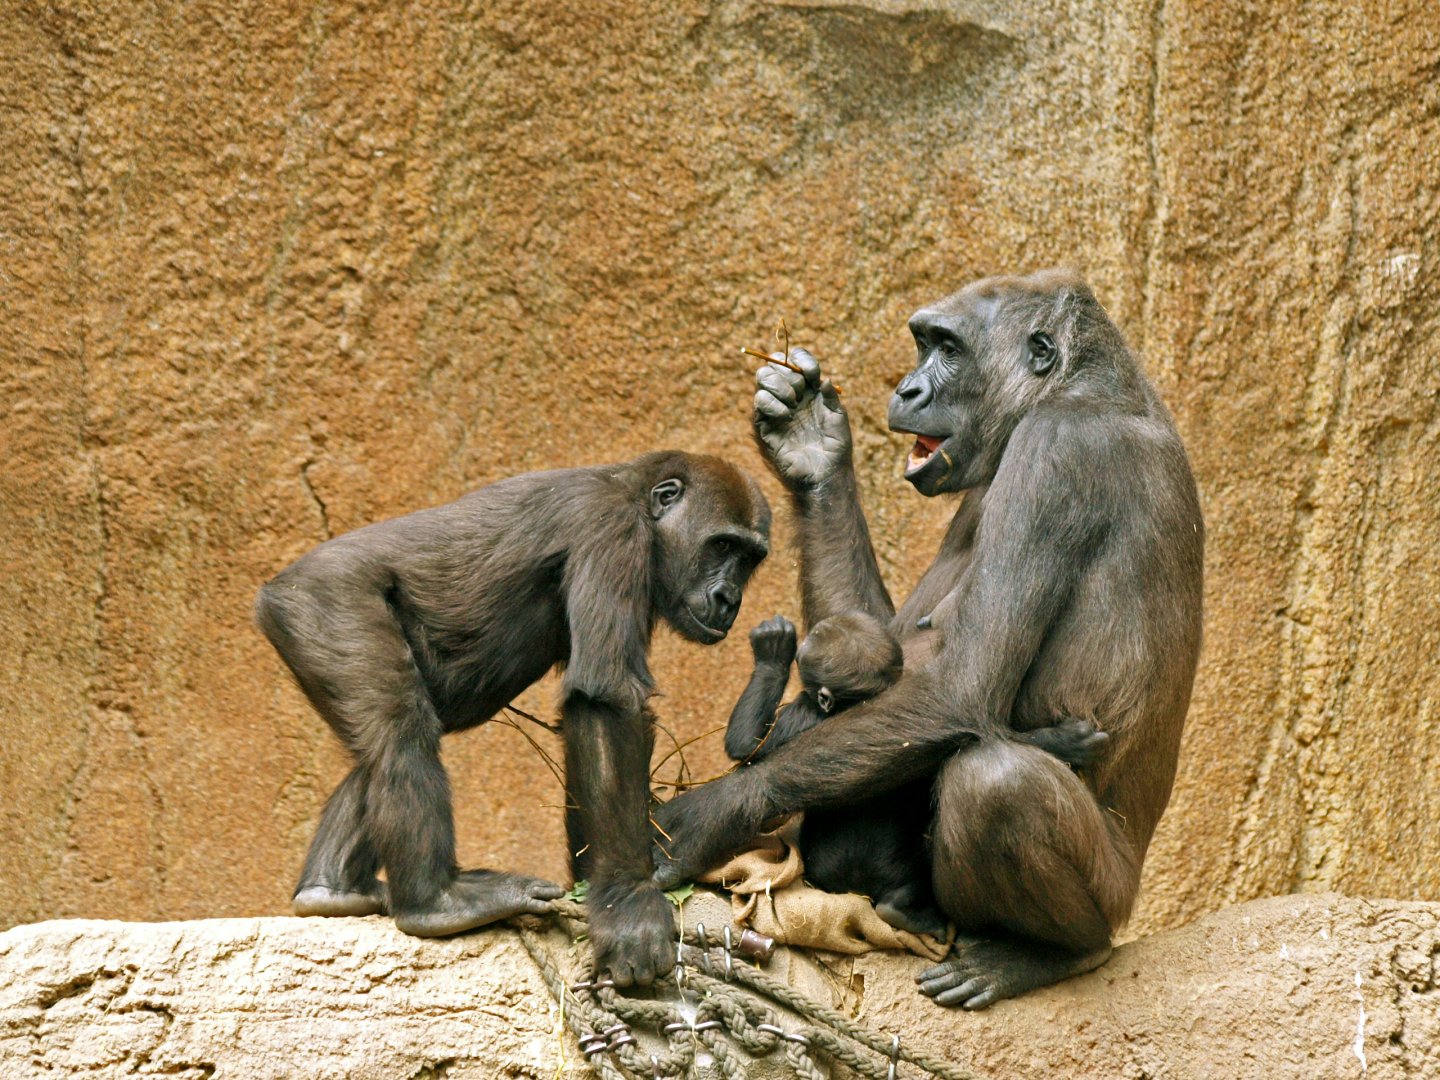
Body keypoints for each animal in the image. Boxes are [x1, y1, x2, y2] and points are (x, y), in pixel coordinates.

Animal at [254, 450, 771, 987]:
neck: (638, 497)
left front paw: (600, 887)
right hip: (324, 603)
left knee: (392, 737)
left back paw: (330, 889)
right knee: (400, 733)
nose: (729, 599)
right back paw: (433, 902)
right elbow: (605, 698)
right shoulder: (612, 528)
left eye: (748, 559)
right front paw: (628, 903)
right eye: (722, 545)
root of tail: (278, 586)